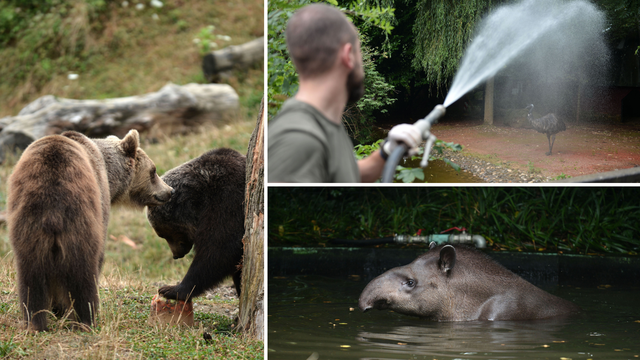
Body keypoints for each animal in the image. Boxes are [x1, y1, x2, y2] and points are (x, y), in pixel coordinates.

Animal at [6, 129, 172, 332]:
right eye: (153, 171)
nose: (170, 191)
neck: (110, 174)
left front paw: (56, 307)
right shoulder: (102, 201)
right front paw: (62, 308)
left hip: (27, 221)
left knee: (30, 275)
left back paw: (34, 322)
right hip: (80, 217)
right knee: (83, 270)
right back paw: (85, 319)